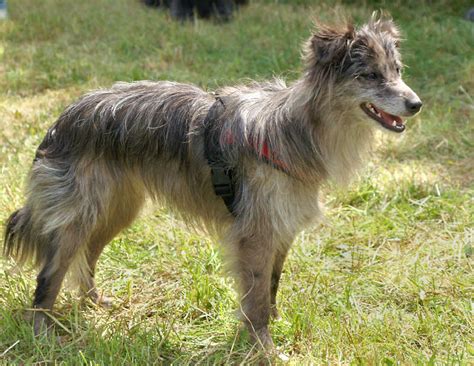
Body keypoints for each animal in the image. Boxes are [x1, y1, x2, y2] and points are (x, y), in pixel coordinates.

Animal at [1, 15, 420, 348]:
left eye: (397, 71)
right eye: (370, 76)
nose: (416, 104)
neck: (296, 130)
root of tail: (65, 116)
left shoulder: (280, 230)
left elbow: (271, 285)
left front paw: (271, 327)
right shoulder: (255, 234)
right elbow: (256, 296)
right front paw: (263, 347)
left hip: (118, 210)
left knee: (87, 255)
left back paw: (92, 302)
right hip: (79, 215)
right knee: (50, 273)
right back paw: (41, 330)